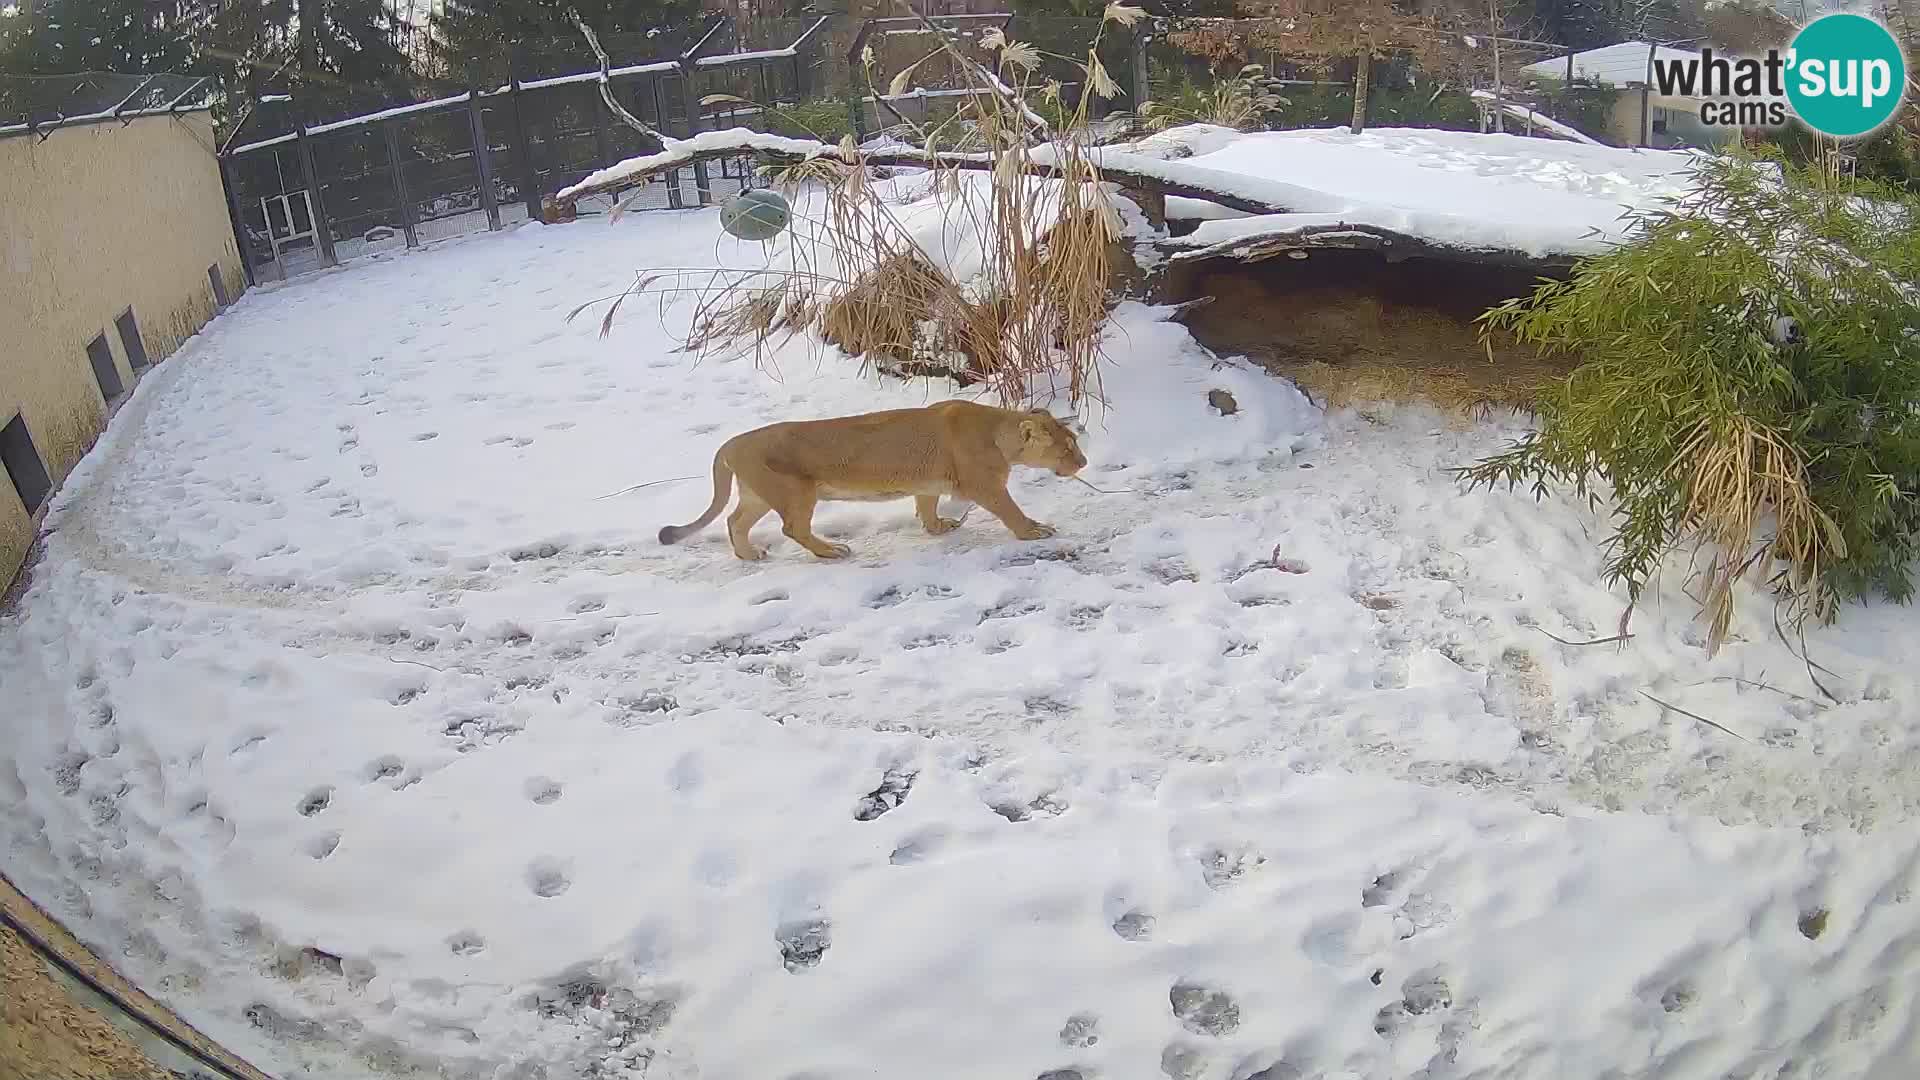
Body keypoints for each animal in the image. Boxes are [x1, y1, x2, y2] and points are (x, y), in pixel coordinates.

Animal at [658, 400, 1087, 561]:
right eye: (1067, 448)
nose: (1083, 462)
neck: (999, 431)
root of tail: (731, 443)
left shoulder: (927, 484)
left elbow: (926, 505)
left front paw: (938, 527)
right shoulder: (986, 487)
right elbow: (1011, 511)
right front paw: (1034, 532)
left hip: (758, 494)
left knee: (734, 521)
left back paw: (749, 554)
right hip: (795, 491)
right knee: (793, 527)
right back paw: (832, 551)